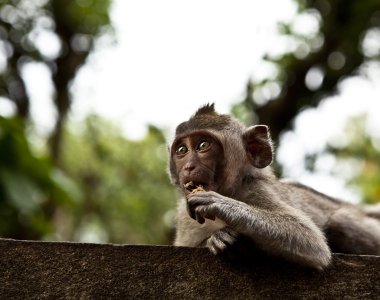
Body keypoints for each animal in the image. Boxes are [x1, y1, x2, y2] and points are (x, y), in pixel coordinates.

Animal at [170, 103, 380, 270]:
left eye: (203, 145)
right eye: (181, 150)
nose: (188, 166)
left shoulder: (255, 189)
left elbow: (311, 241)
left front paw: (218, 205)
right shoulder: (184, 216)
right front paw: (216, 238)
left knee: (340, 221)